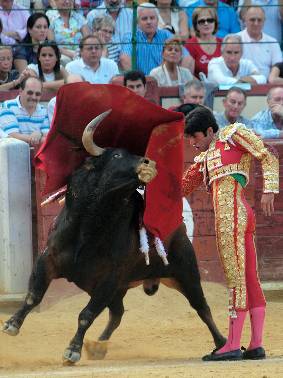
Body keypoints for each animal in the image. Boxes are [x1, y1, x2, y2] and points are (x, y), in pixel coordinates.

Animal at [2, 110, 226, 364]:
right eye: (117, 154)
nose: (148, 163)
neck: (90, 227)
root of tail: (179, 228)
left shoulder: (108, 280)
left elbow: (86, 314)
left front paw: (72, 350)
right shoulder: (48, 259)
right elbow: (34, 296)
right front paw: (12, 324)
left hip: (185, 273)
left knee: (202, 307)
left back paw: (221, 344)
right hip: (120, 289)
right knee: (117, 314)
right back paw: (98, 346)